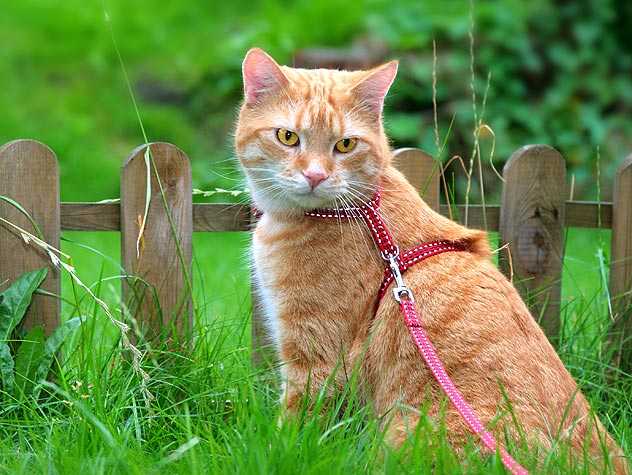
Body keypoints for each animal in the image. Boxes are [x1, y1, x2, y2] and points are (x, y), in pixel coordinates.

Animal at [233, 47, 628, 472]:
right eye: (287, 137)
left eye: (345, 145)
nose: (315, 176)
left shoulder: (316, 358)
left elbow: (293, 427)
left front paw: (274, 451)